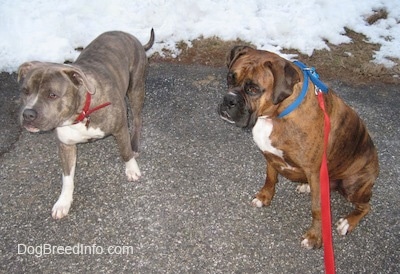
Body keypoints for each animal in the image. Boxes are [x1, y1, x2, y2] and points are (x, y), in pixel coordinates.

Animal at [18, 29, 155, 218]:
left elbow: (125, 152)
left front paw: (132, 169)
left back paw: (134, 144)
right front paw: (63, 202)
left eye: (52, 95)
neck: (81, 112)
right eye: (25, 91)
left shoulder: (120, 128)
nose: (28, 114)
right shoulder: (65, 145)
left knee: (137, 119)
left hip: (136, 88)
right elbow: (67, 177)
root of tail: (131, 36)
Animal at [219, 46, 378, 249]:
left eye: (253, 89)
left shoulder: (315, 171)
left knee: (366, 206)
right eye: (230, 78)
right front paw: (264, 197)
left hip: (352, 186)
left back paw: (347, 222)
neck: (275, 115)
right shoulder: (270, 156)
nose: (228, 100)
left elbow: (317, 208)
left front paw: (314, 237)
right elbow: (270, 178)